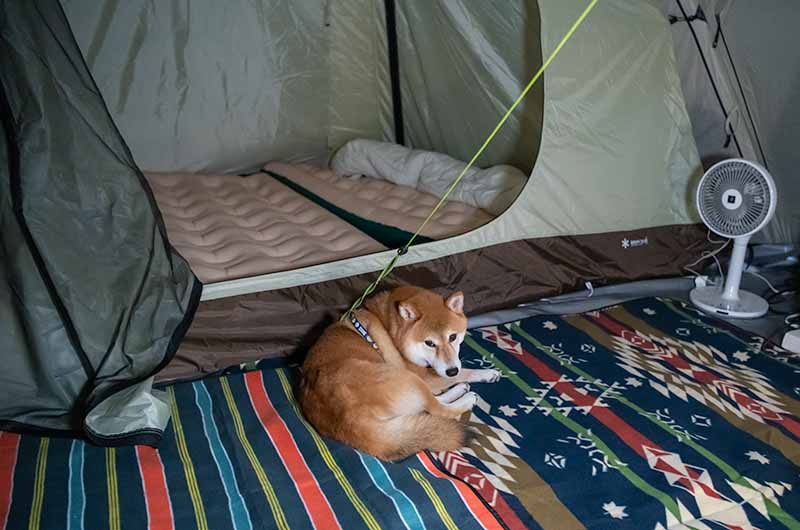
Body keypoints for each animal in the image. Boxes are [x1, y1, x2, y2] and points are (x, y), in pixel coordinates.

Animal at [300, 284, 500, 458]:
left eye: (453, 337)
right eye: (429, 343)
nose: (451, 371)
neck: (388, 325)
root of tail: (348, 421)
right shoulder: (426, 375)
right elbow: (466, 371)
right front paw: (487, 374)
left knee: (429, 403)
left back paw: (459, 389)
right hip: (408, 378)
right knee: (437, 409)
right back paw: (467, 397)